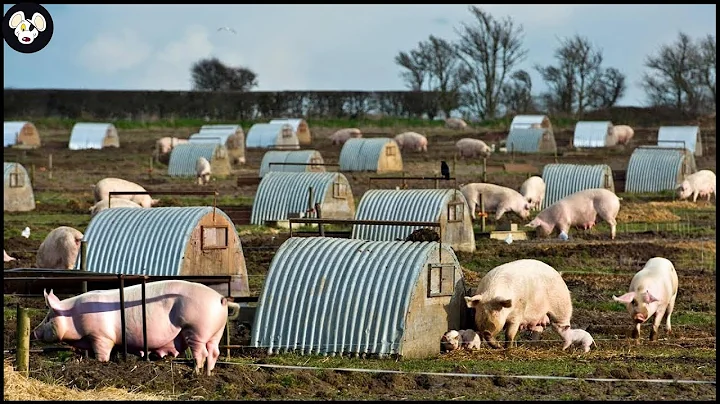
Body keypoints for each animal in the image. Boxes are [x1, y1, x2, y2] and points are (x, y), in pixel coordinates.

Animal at [33, 280, 242, 376]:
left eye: (49, 317)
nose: (34, 331)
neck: (74, 316)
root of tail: (221, 299)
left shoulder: (101, 336)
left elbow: (102, 353)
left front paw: (101, 364)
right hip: (216, 332)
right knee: (214, 352)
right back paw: (208, 373)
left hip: (197, 329)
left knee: (201, 353)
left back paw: (195, 373)